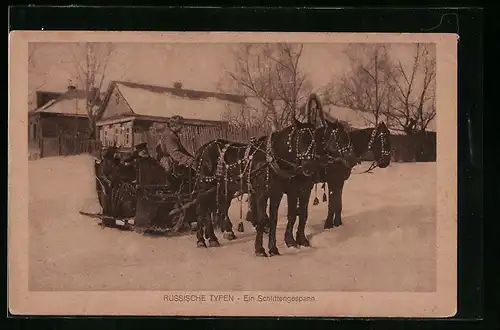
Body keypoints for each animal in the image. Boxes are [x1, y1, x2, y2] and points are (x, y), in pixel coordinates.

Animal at [189, 117, 322, 256]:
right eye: (299, 140)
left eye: (316, 141)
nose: (310, 168)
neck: (271, 160)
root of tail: (201, 149)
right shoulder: (262, 194)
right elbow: (262, 220)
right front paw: (260, 249)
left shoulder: (278, 194)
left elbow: (276, 219)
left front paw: (274, 249)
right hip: (205, 186)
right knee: (202, 210)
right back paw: (202, 240)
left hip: (221, 189)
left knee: (209, 208)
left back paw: (213, 238)